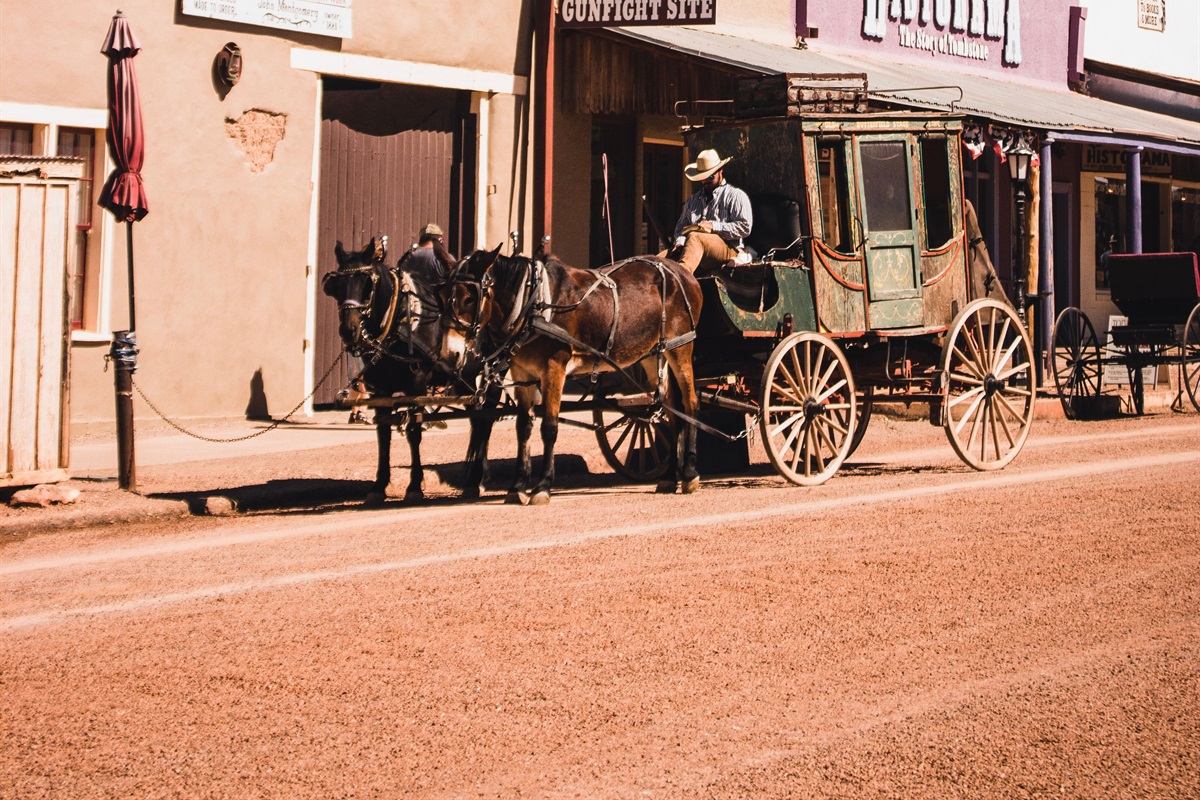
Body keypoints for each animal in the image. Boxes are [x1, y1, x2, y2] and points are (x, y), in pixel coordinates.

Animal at [321, 237, 494, 503]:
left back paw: (477, 479)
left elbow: (414, 431)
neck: (398, 320)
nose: (349, 330)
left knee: (485, 419)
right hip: (463, 381)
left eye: (366, 284)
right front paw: (379, 485)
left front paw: (414, 486)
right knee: (479, 420)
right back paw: (480, 475)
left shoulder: (417, 384)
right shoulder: (380, 389)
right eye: (337, 285)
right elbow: (383, 433)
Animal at [441, 247, 700, 503]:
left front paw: (542, 486)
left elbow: (549, 426)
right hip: (652, 354)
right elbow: (523, 428)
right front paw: (518, 486)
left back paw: (689, 474)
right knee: (671, 409)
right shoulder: (521, 372)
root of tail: (680, 271)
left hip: (680, 347)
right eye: (443, 296)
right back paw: (669, 477)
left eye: (469, 298)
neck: (535, 304)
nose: (450, 355)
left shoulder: (554, 368)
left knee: (690, 404)